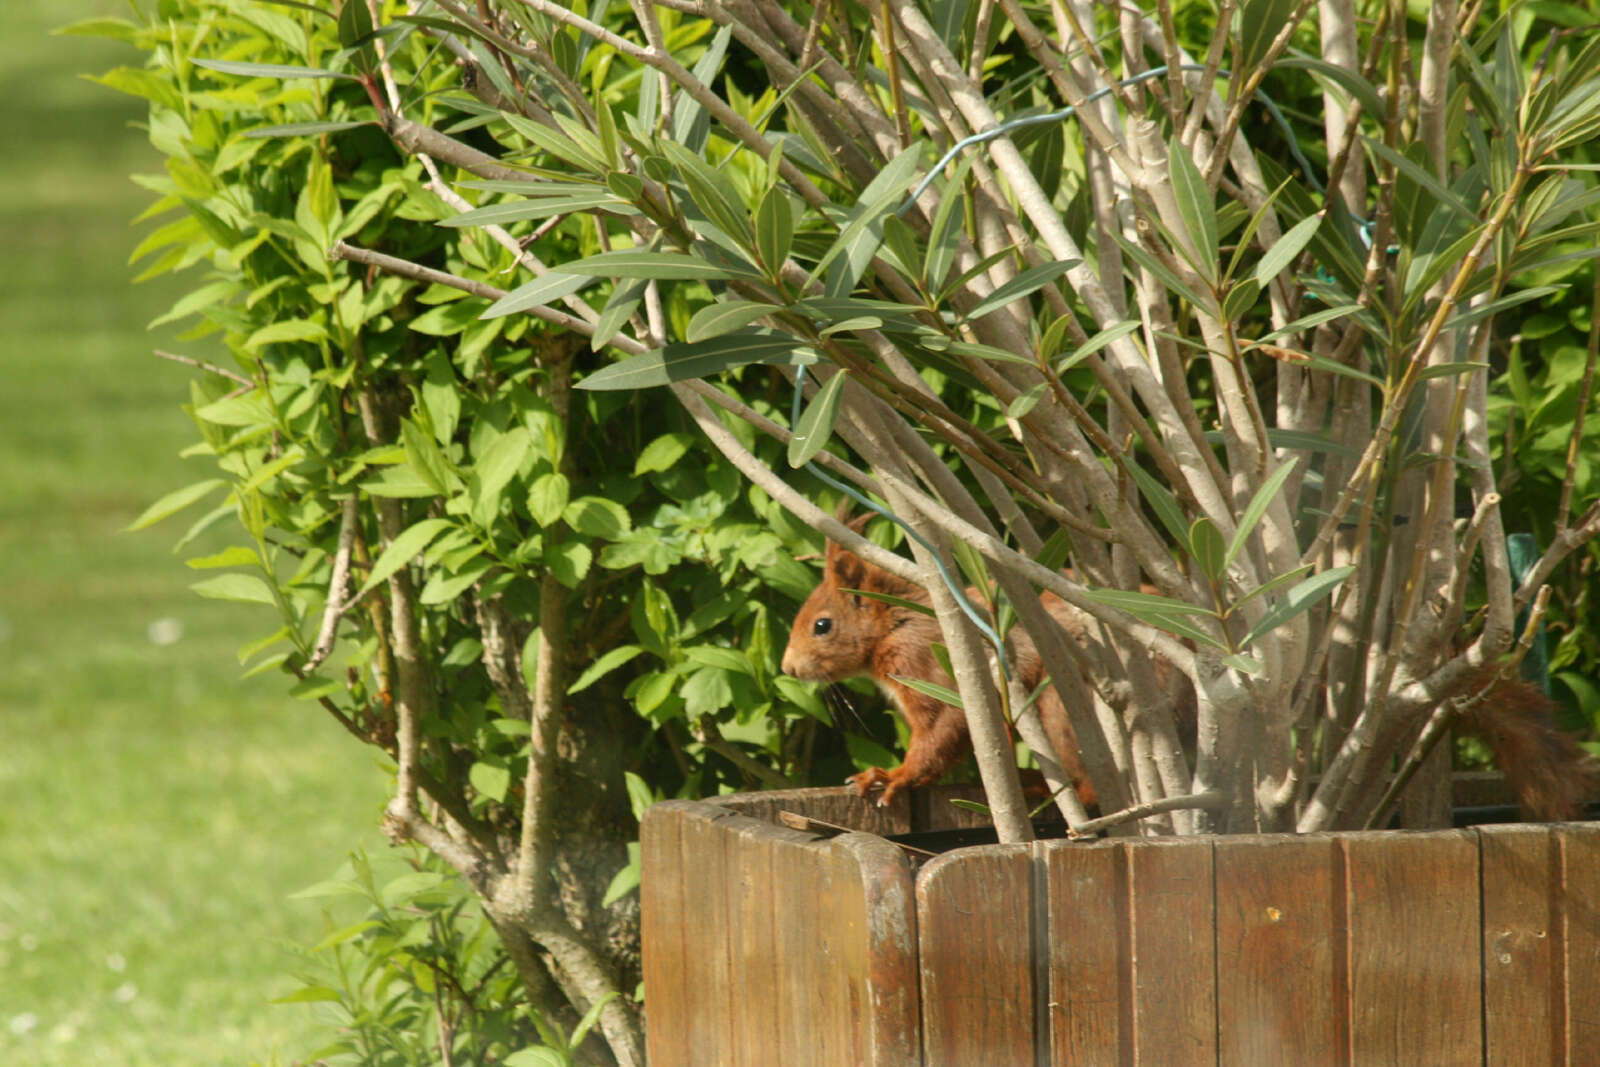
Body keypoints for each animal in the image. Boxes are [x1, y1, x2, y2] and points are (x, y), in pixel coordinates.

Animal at [780, 521, 1593, 825]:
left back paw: (1056, 796)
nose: (787, 666)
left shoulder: (936, 666)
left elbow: (941, 733)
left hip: (1066, 713)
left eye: (821, 624)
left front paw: (889, 776)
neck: (901, 618)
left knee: (1086, 776)